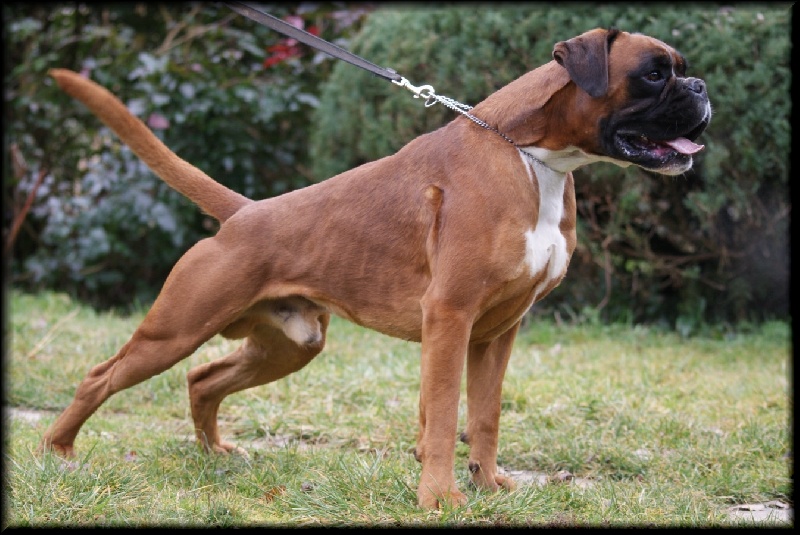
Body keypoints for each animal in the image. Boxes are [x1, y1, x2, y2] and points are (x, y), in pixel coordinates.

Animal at [40, 27, 710, 509]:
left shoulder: (498, 332)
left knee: (203, 381)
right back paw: (58, 449)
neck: (532, 156)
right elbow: (443, 415)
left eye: (679, 68)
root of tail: (246, 212)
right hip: (176, 329)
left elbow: (485, 414)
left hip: (289, 344)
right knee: (100, 377)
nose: (701, 86)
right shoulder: (450, 319)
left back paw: (214, 453)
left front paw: (487, 484)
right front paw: (439, 497)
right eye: (655, 73)